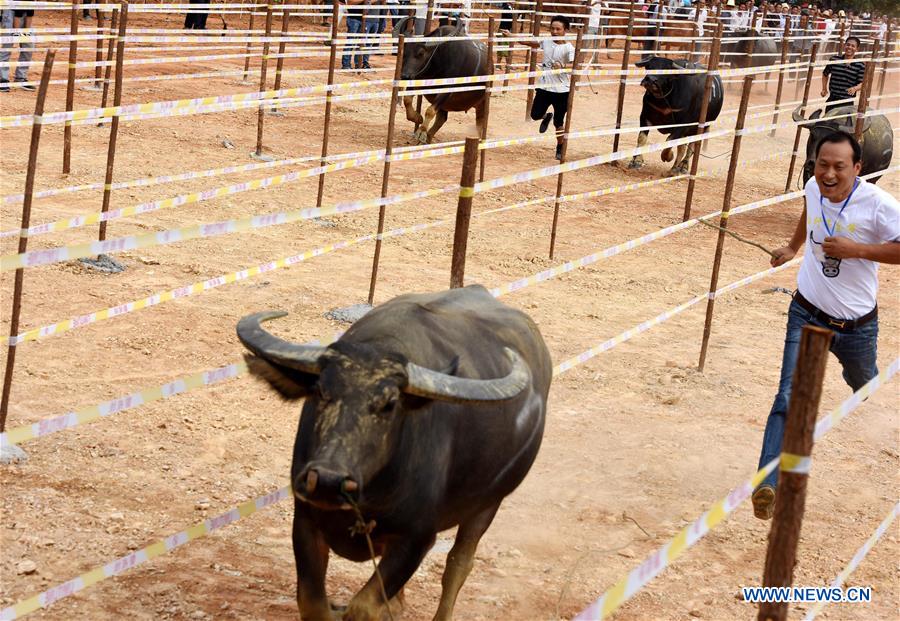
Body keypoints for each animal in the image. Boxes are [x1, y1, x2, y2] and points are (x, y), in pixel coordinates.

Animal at [236, 286, 552, 620]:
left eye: (389, 404)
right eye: (320, 390)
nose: (327, 481)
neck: (369, 494)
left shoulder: (416, 539)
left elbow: (364, 608)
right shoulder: (306, 520)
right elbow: (312, 603)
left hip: (488, 504)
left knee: (458, 565)